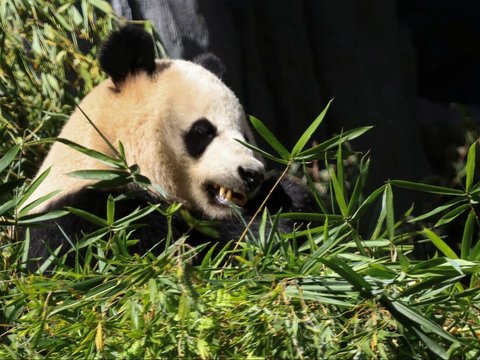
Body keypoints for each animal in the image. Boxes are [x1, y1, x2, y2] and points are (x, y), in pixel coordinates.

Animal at [24, 26, 314, 268]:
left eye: (245, 136)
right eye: (203, 132)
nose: (251, 174)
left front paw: (290, 198)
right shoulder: (92, 218)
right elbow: (183, 252)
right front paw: (268, 232)